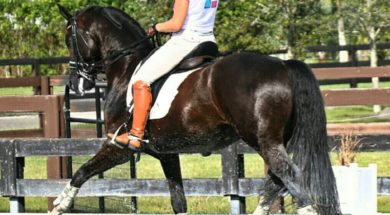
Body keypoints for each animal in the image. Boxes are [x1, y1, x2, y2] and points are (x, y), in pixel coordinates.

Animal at [50, 5, 340, 215]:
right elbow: (178, 201)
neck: (125, 69)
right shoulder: (167, 155)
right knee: (276, 183)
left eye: (69, 40)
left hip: (264, 141)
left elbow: (81, 172)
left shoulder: (119, 147)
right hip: (272, 141)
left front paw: (60, 205)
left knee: (290, 179)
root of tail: (282, 65)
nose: (76, 84)